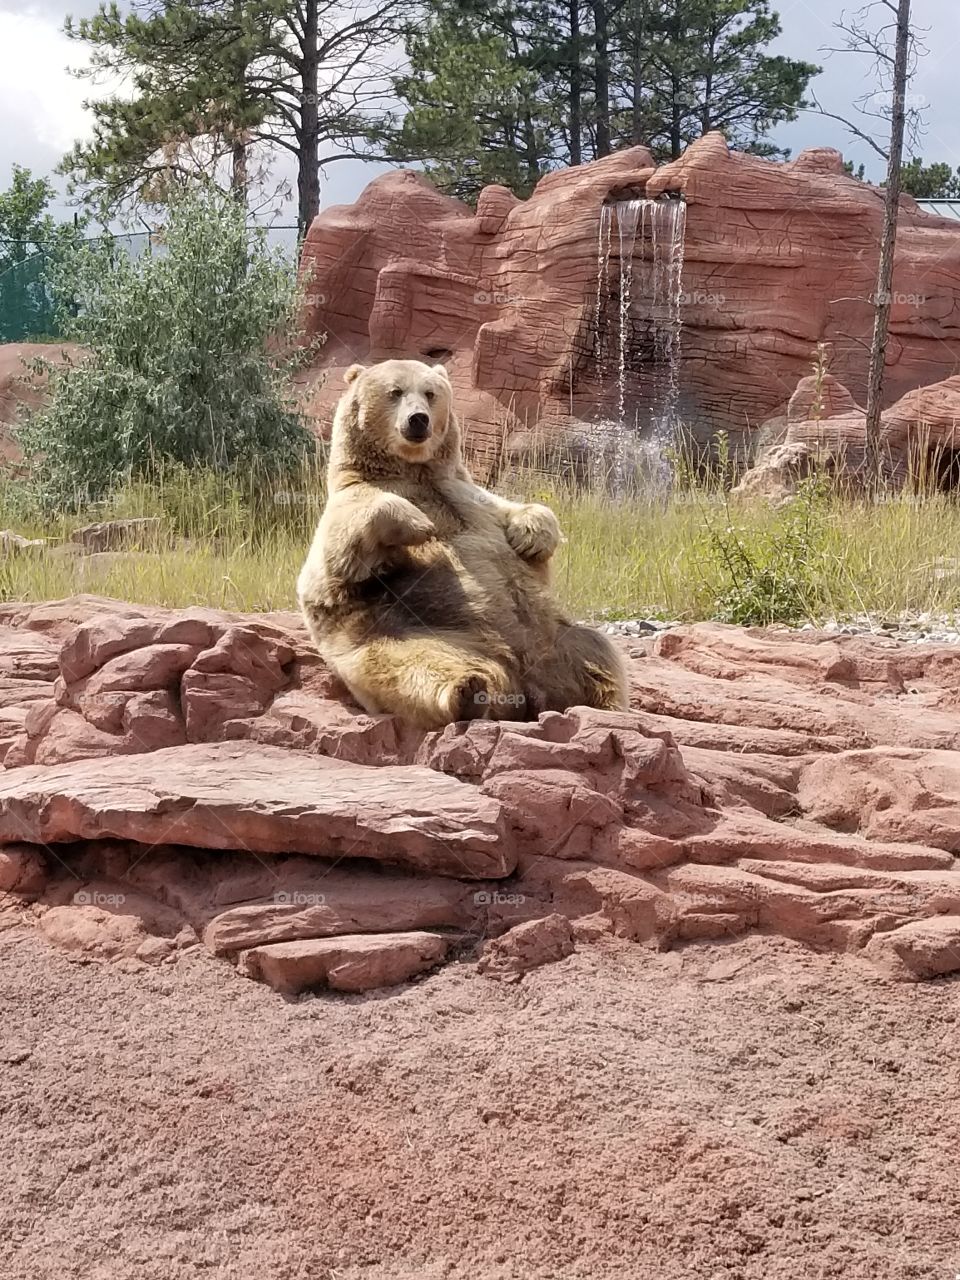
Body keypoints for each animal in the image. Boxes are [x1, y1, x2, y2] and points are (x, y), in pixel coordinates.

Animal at [297, 358, 627, 731]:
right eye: (395, 391)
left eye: (430, 393)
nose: (418, 419)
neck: (415, 471)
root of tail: (525, 681)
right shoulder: (347, 506)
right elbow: (341, 555)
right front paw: (417, 524)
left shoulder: (469, 495)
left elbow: (517, 513)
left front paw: (530, 537)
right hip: (409, 636)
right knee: (416, 667)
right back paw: (469, 690)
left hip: (553, 638)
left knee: (593, 651)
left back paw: (602, 700)